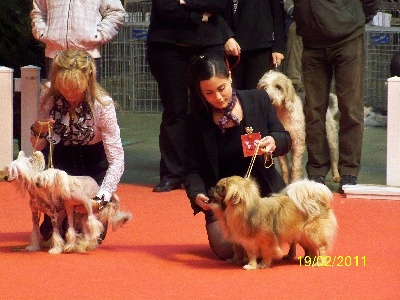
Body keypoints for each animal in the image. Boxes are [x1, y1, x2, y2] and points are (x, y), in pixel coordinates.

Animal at [209, 175, 338, 270]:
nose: (210, 188)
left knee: (321, 248)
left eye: (218, 188)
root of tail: (317, 201)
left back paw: (319, 263)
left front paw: (260, 265)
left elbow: (265, 253)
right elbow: (246, 253)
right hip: (303, 235)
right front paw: (244, 263)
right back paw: (308, 261)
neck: (247, 211)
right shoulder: (245, 241)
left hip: (311, 233)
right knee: (311, 249)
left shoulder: (267, 241)